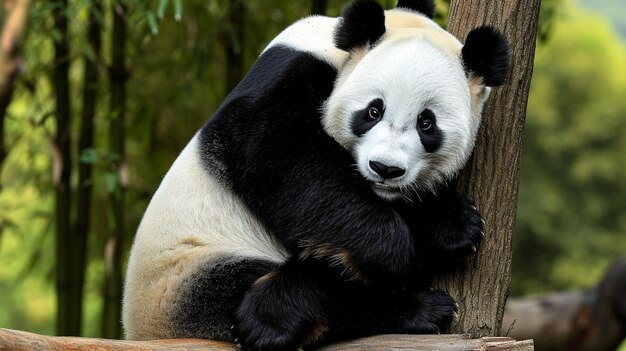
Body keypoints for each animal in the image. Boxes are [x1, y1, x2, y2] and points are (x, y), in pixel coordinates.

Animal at [120, 0, 508, 350]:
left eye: (426, 124)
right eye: (373, 111)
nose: (385, 169)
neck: (338, 53)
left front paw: (448, 223)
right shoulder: (285, 82)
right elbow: (275, 151)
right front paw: (392, 248)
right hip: (192, 270)